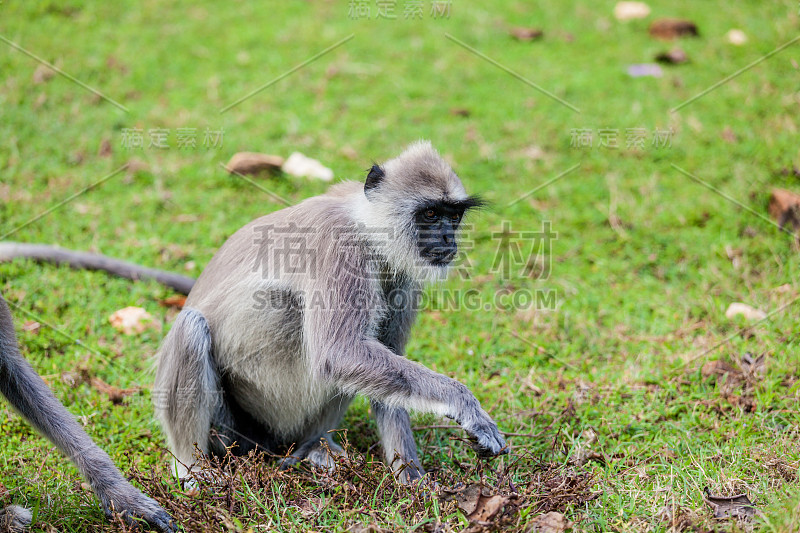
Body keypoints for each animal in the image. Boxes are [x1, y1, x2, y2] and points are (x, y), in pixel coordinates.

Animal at [154, 141, 506, 482]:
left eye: (454, 217)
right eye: (431, 214)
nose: (448, 237)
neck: (366, 229)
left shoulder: (401, 274)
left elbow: (381, 362)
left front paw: (412, 480)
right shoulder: (340, 245)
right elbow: (340, 353)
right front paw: (464, 404)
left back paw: (313, 446)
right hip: (233, 430)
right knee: (194, 326)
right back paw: (191, 467)